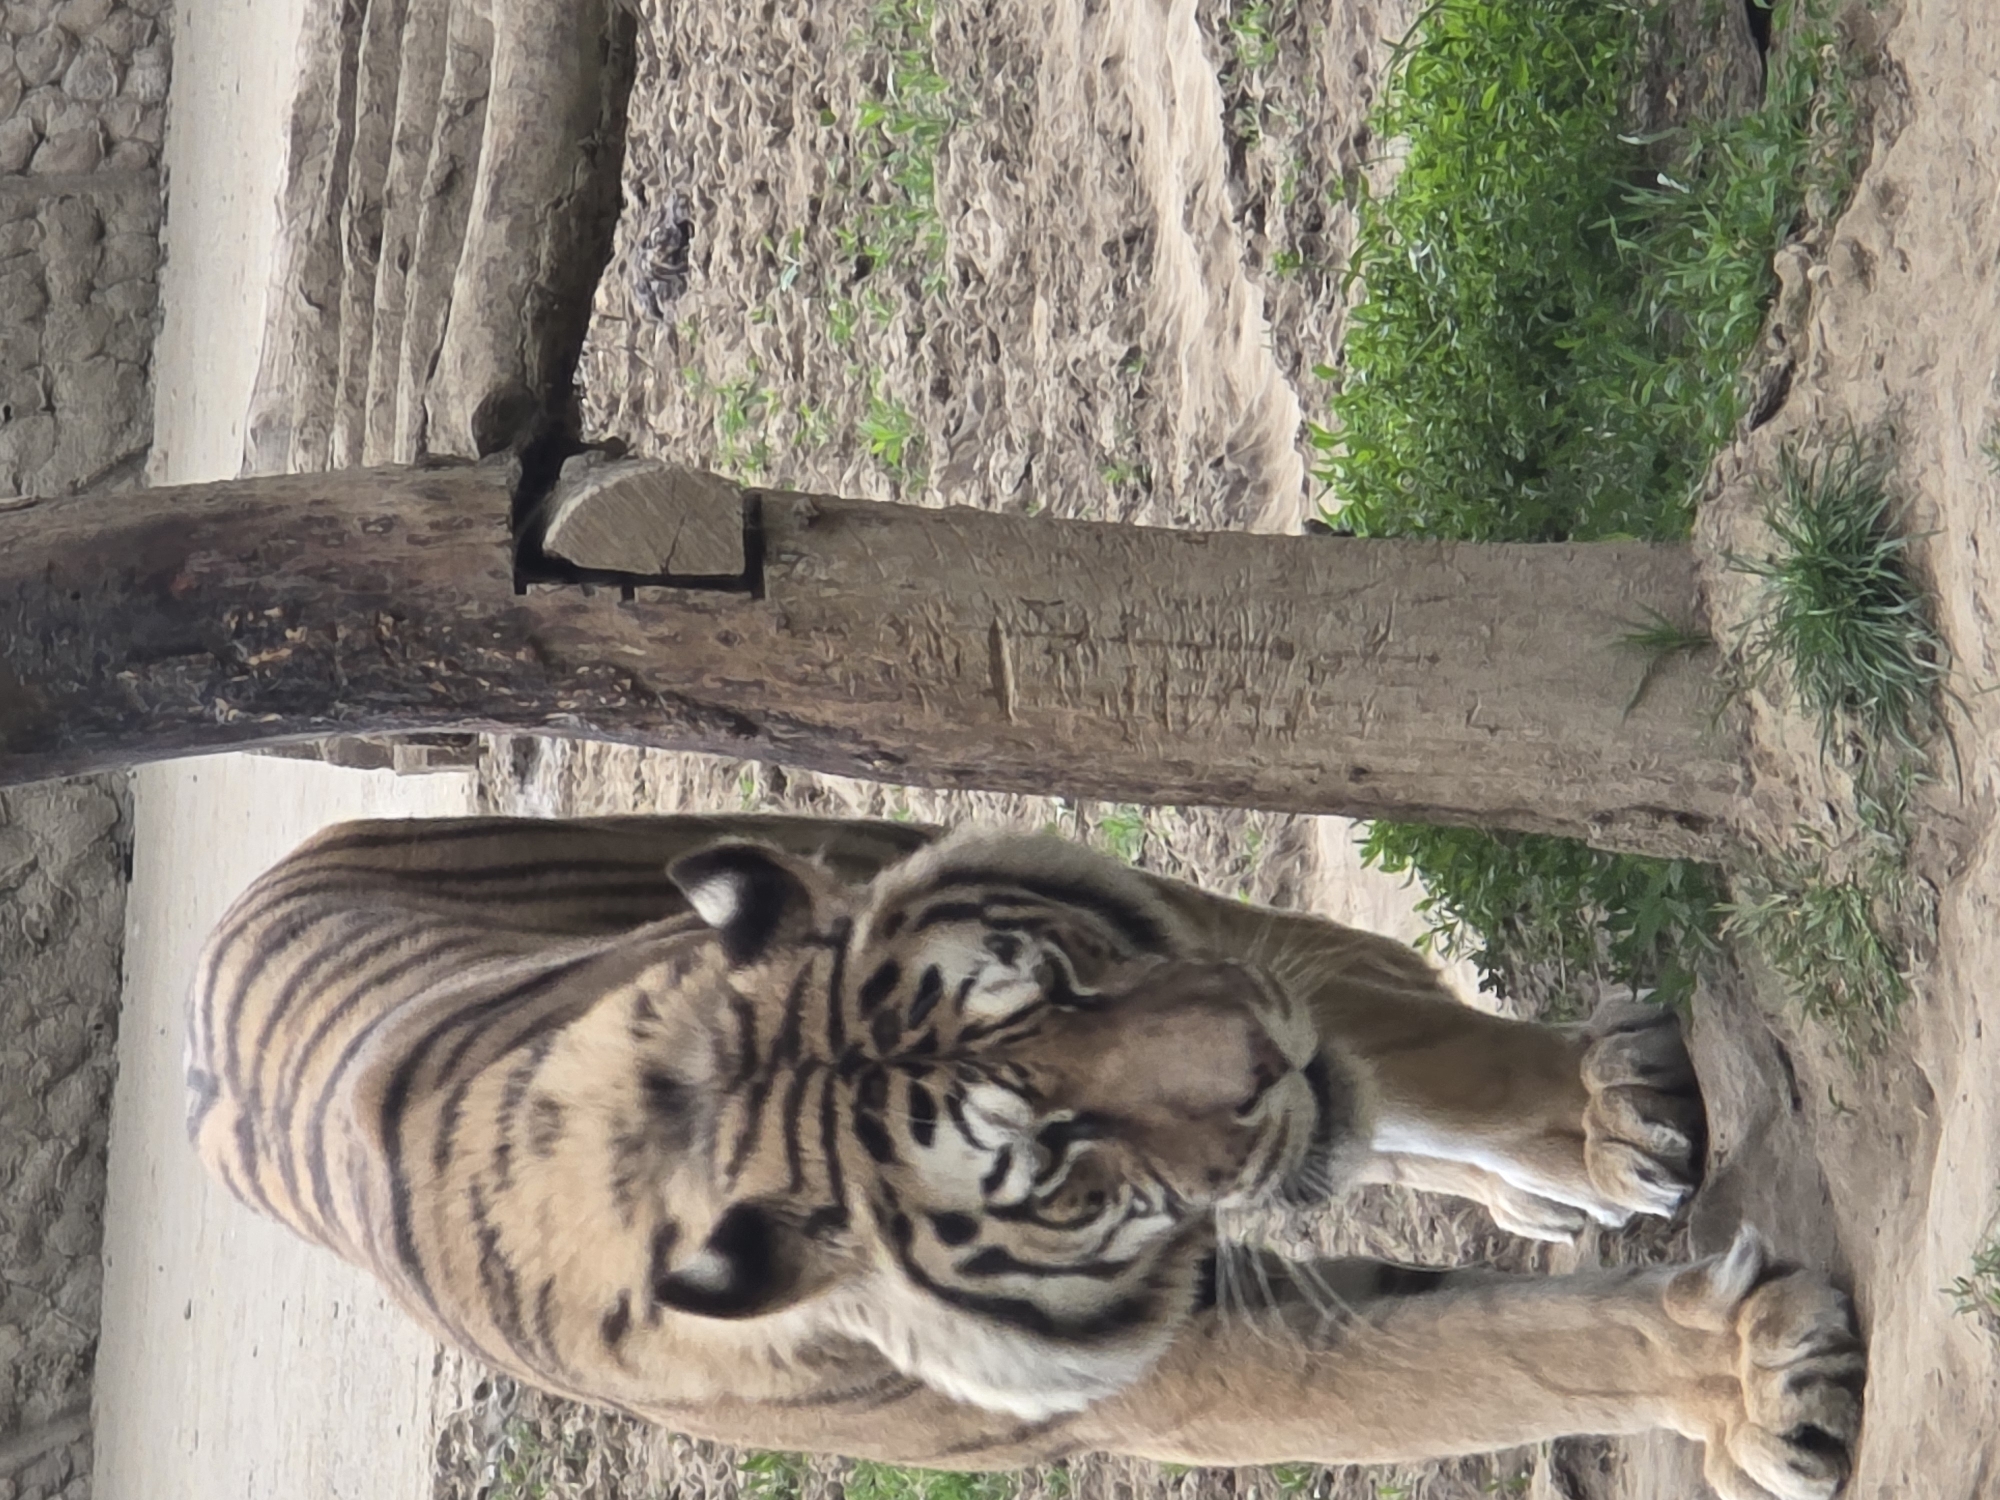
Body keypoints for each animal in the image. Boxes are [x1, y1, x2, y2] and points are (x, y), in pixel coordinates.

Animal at [185, 815, 1864, 1500]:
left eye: (1052, 984)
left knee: (1381, 1015)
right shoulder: (1189, 1368)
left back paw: (1602, 1113)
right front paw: (1756, 1383)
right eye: (1052, 1162)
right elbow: (1490, 1359)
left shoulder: (1196, 964)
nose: (1266, 1060)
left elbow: (1428, 1093)